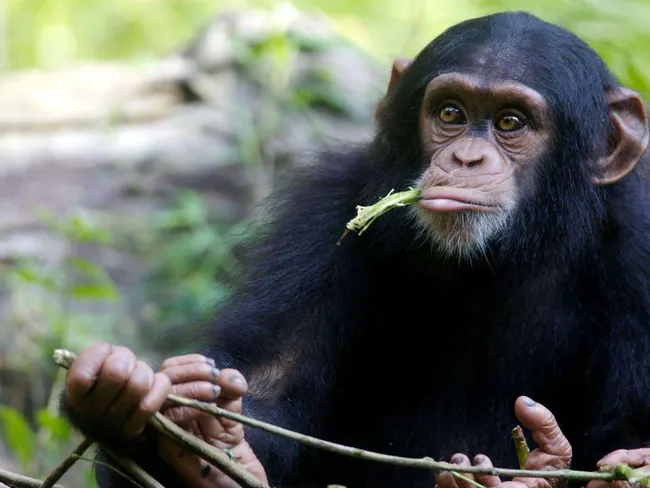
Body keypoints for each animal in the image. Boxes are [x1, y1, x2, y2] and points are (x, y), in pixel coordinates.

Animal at [62, 9, 650, 488]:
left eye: (511, 121)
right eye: (451, 113)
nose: (467, 158)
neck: (504, 257)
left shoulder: (641, 246)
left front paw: (547, 471)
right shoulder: (323, 214)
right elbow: (270, 385)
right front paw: (193, 432)